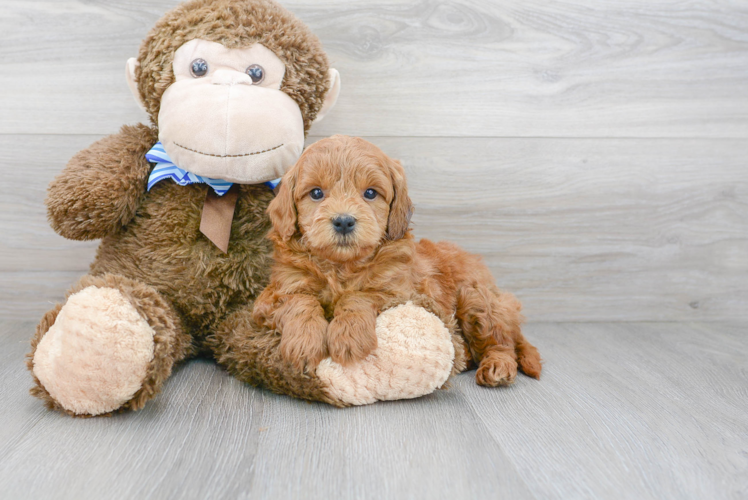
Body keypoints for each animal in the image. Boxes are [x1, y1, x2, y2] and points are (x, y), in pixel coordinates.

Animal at [254, 136, 540, 386]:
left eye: (370, 193)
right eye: (316, 193)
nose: (344, 221)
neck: (342, 266)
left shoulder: (401, 292)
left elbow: (358, 296)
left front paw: (348, 337)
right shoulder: (273, 295)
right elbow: (300, 301)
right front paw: (304, 343)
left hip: (477, 300)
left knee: (501, 341)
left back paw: (498, 366)